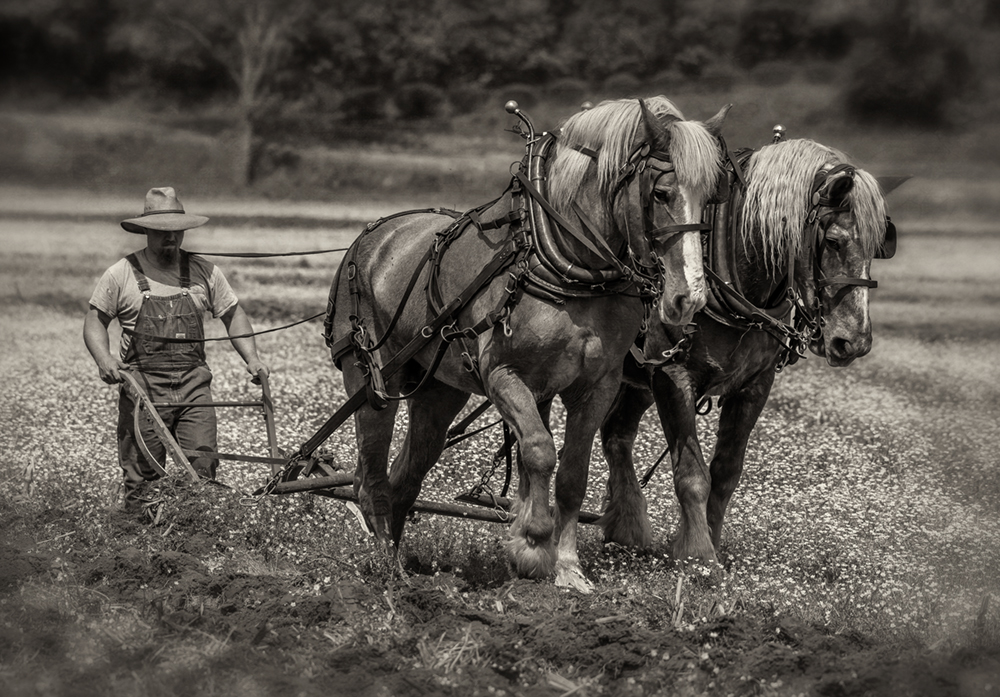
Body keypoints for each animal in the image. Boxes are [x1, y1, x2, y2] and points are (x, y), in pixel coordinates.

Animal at [323, 96, 730, 591]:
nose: (688, 298)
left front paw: (569, 568)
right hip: (371, 381)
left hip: (440, 391)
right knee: (371, 479)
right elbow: (538, 450)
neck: (567, 264)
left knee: (407, 475)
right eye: (661, 194)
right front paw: (533, 546)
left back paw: (401, 561)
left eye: (710, 198)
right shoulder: (504, 376)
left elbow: (572, 473)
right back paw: (387, 569)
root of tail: (374, 236)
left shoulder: (598, 385)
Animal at [598, 137, 892, 567]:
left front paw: (712, 543)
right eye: (834, 241)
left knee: (616, 432)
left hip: (637, 379)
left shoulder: (755, 384)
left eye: (877, 247)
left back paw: (626, 528)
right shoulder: (672, 376)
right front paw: (698, 555)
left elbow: (725, 473)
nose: (854, 341)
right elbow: (691, 473)